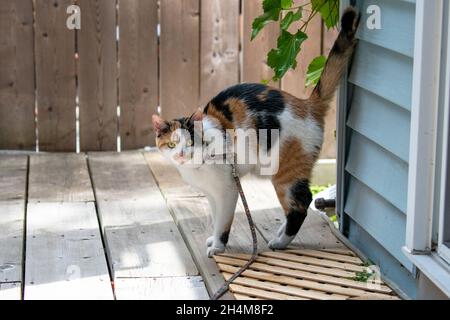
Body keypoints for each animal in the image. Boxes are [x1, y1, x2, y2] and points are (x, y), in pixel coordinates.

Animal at [153, 8, 360, 258]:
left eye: (190, 142)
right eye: (171, 145)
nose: (182, 154)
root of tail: (306, 104)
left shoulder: (227, 190)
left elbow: (223, 221)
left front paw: (218, 246)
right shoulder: (211, 194)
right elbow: (214, 216)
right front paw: (212, 238)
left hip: (285, 171)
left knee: (302, 204)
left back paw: (280, 242)